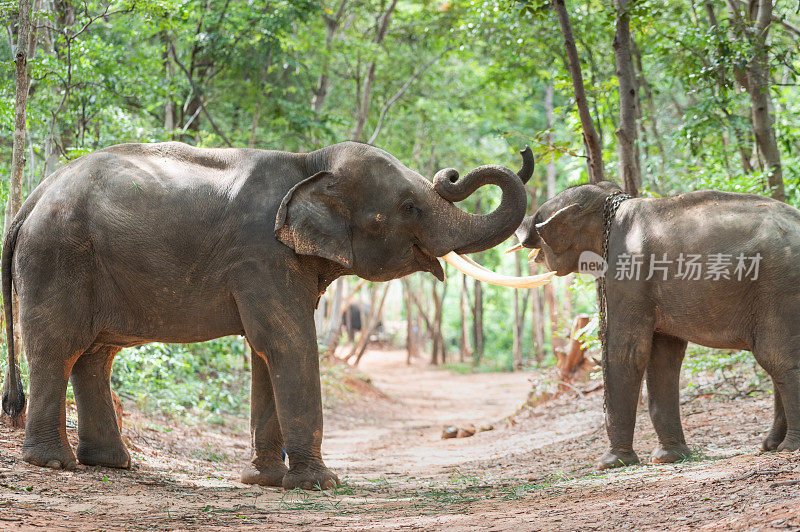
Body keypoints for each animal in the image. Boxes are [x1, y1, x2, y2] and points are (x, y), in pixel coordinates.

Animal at [516, 182, 800, 470]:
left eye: (540, 218)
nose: (523, 230)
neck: (612, 203)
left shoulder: (627, 276)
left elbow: (628, 353)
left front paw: (611, 462)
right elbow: (664, 356)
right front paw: (669, 457)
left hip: (779, 286)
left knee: (777, 358)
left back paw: (788, 447)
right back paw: (770, 446)